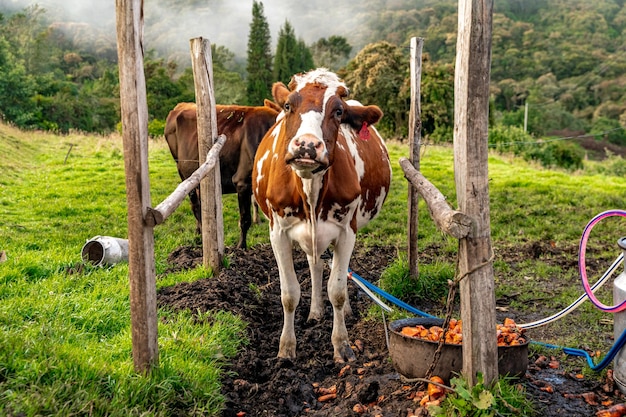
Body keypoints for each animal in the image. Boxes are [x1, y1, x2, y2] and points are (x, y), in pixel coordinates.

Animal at [163, 99, 278, 249]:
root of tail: (181, 105)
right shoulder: (242, 182)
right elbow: (245, 219)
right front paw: (241, 247)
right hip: (185, 175)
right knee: (195, 206)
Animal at [250, 68, 388, 360]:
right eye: (288, 105)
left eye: (338, 111)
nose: (307, 146)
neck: (310, 189)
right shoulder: (277, 233)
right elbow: (289, 294)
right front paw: (286, 347)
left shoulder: (347, 231)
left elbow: (337, 290)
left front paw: (342, 345)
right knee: (315, 265)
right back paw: (315, 311)